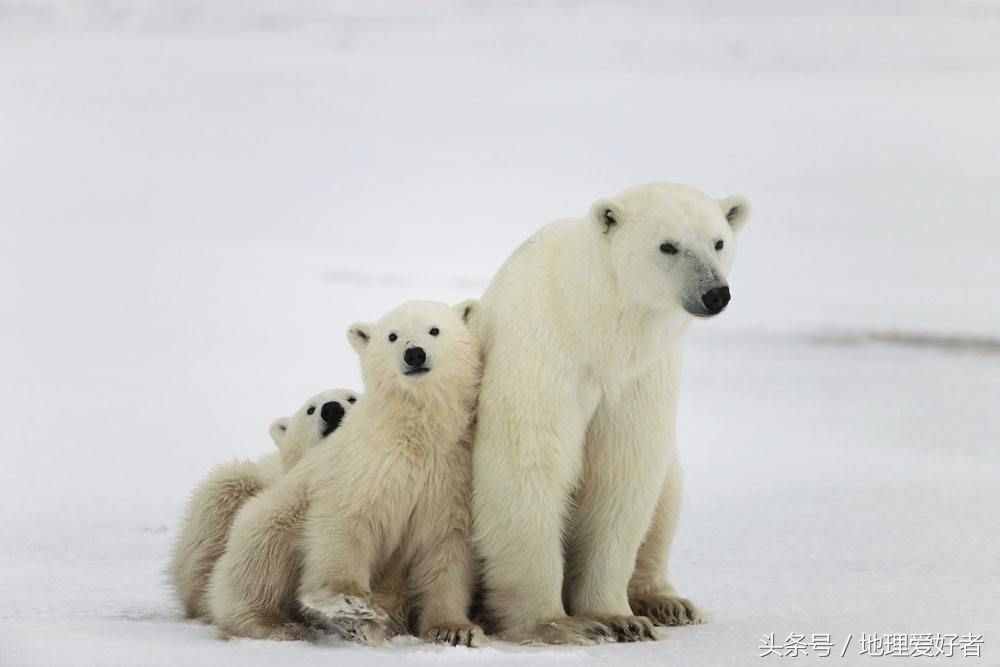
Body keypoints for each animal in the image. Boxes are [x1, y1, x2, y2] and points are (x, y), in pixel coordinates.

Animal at [206, 300, 480, 644]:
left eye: (434, 330)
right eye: (392, 335)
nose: (414, 354)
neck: (414, 433)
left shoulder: (449, 475)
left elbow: (446, 548)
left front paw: (453, 630)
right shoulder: (364, 465)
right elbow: (345, 521)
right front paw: (350, 603)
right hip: (273, 516)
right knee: (261, 558)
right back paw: (275, 624)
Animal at [470, 181, 752, 640]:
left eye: (718, 242)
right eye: (668, 245)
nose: (715, 293)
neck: (598, 330)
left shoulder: (639, 377)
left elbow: (622, 475)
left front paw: (618, 618)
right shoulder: (544, 355)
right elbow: (527, 465)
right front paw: (556, 624)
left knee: (666, 495)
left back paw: (667, 602)